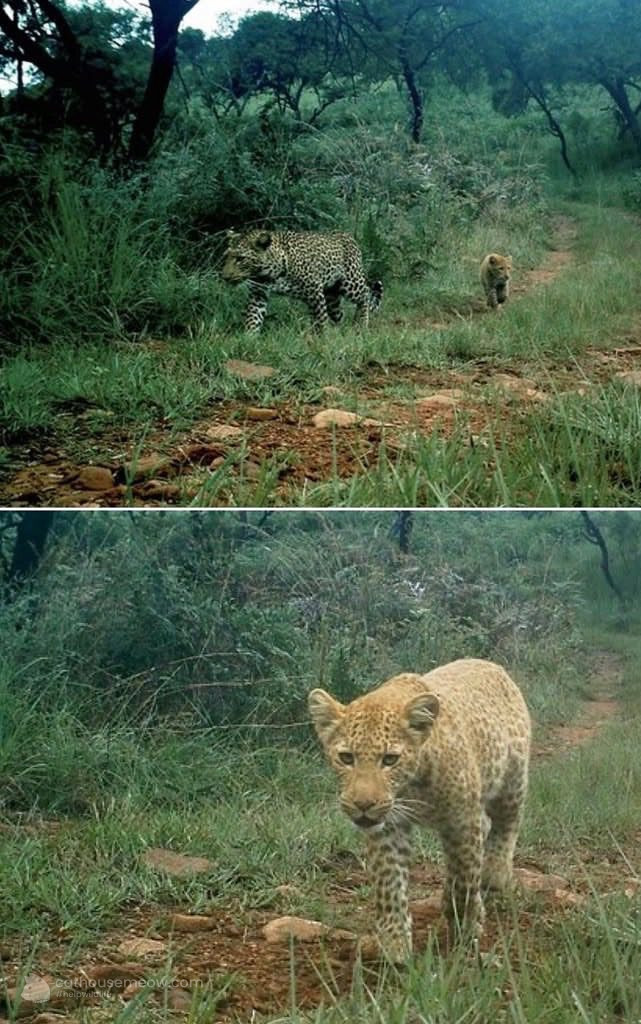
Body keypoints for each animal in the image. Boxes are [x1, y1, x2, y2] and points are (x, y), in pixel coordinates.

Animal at [221, 228, 382, 333]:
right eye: (226, 256)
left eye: (240, 259)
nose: (225, 277)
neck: (267, 273)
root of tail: (349, 236)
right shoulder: (258, 294)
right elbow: (253, 316)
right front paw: (249, 338)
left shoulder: (314, 292)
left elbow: (320, 320)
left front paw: (322, 340)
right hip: (331, 295)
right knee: (338, 314)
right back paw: (340, 332)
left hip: (350, 283)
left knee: (366, 294)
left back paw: (361, 324)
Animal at [308, 658, 531, 963]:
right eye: (346, 758)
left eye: (390, 759)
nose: (363, 805)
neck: (411, 787)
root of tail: (489, 663)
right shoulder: (388, 829)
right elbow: (389, 885)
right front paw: (395, 945)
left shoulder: (461, 820)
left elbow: (464, 881)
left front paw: (466, 928)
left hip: (512, 780)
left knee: (506, 823)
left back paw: (495, 872)